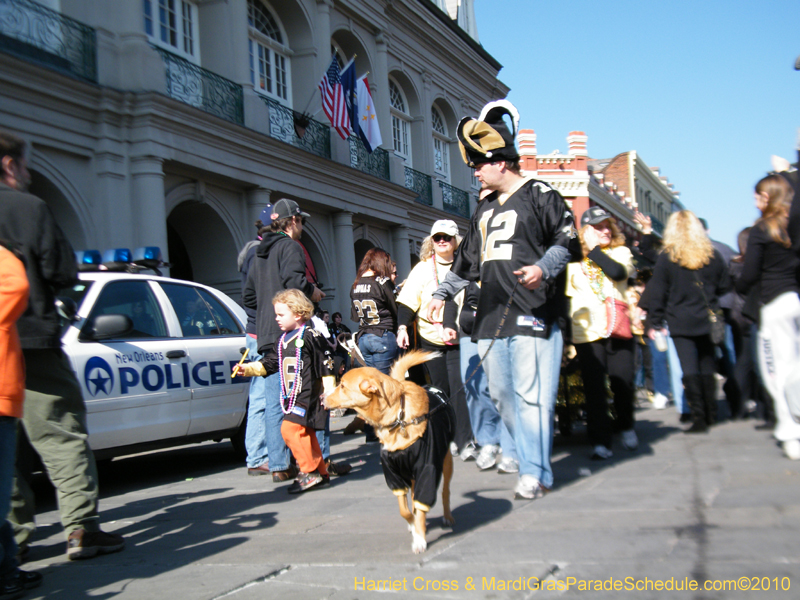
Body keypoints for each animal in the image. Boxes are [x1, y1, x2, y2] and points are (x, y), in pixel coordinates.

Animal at [322, 352, 454, 552]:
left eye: (343, 386)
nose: (321, 396)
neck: (398, 419)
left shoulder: (427, 468)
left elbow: (421, 505)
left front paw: (420, 539)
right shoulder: (393, 474)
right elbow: (405, 510)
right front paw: (413, 526)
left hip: (445, 462)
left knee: (445, 491)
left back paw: (447, 517)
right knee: (414, 497)